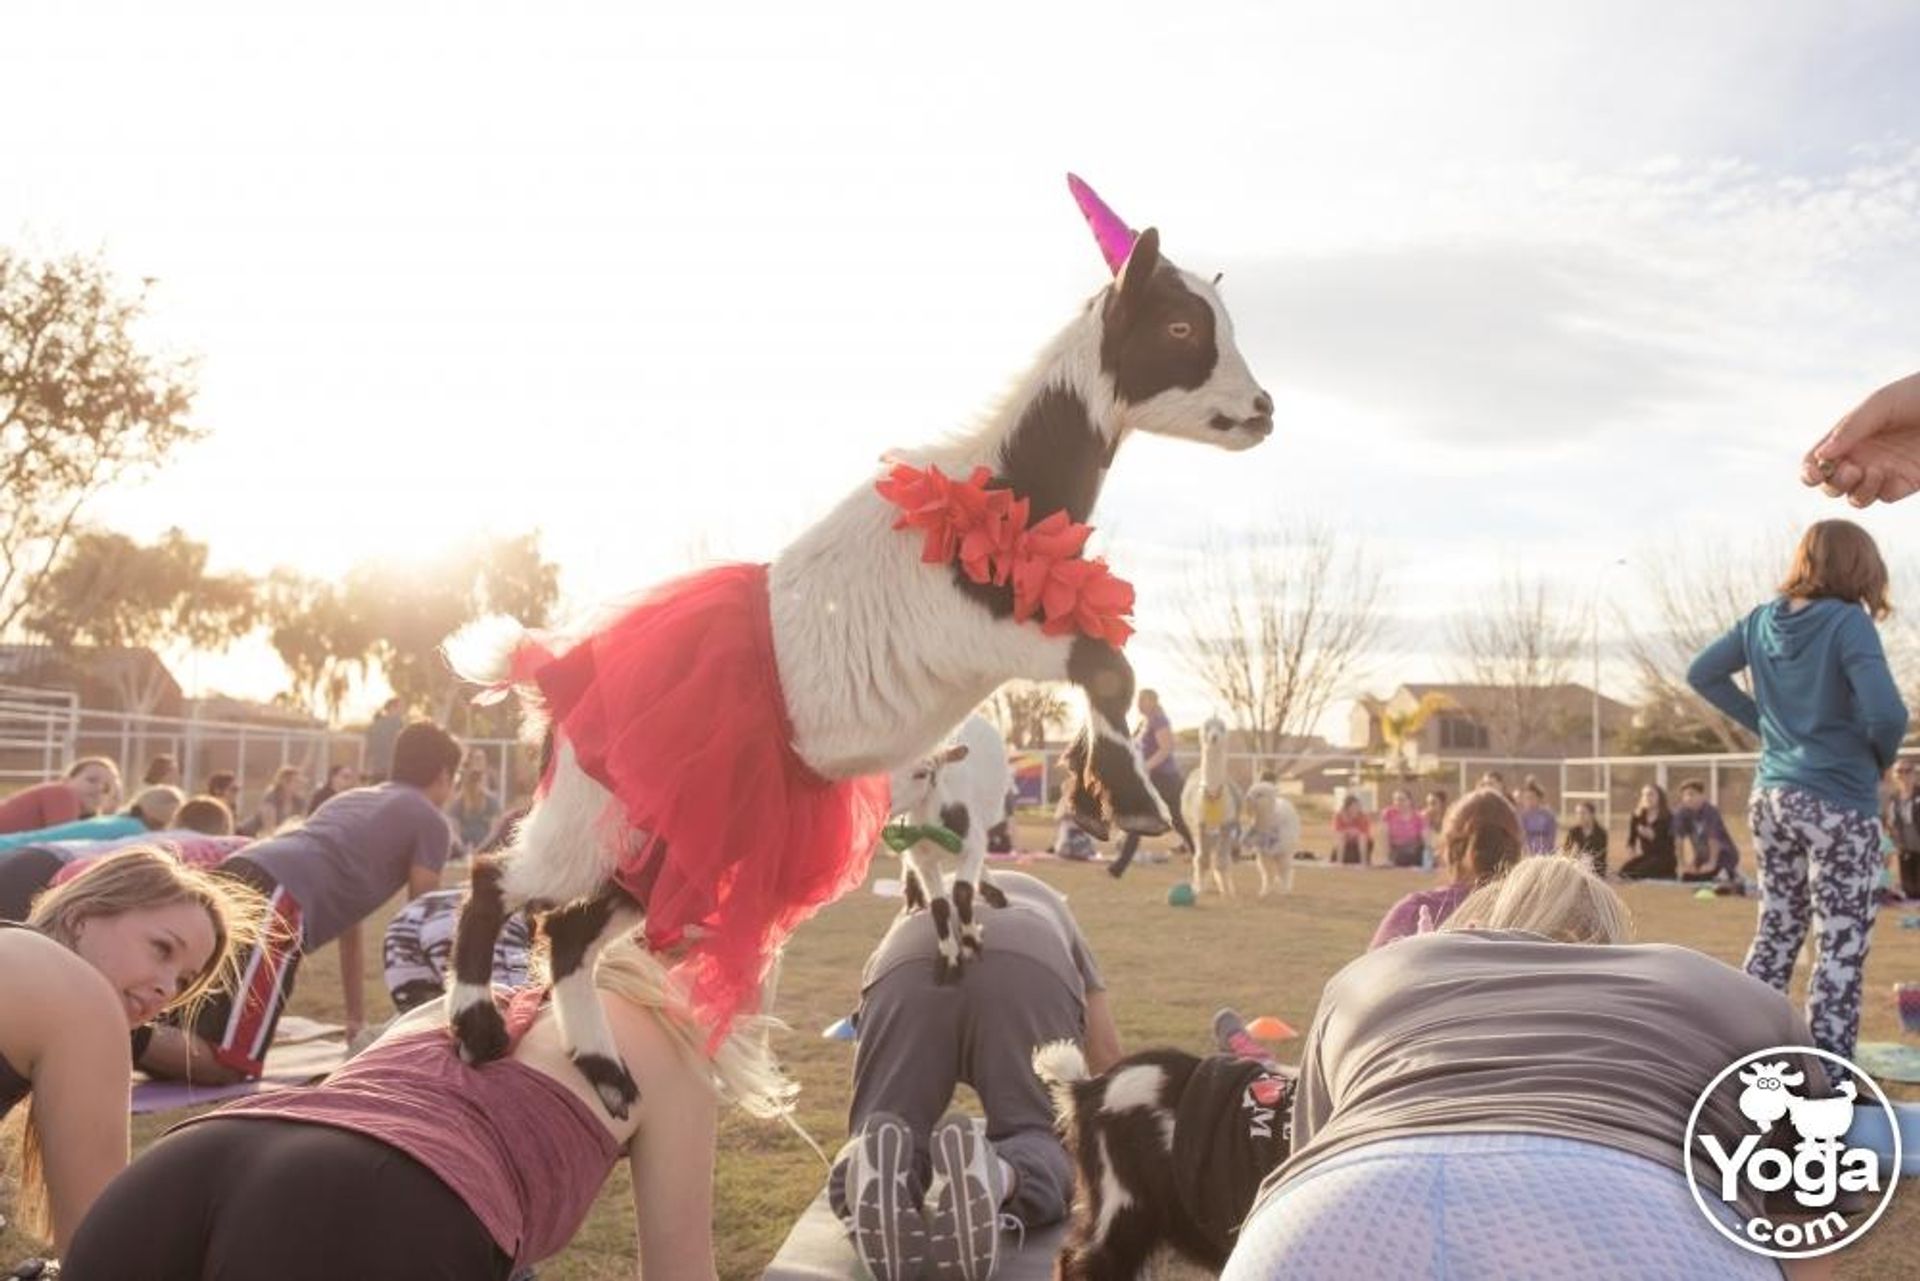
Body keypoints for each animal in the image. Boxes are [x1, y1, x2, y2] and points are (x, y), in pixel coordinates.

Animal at [883, 710, 1013, 983]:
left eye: (922, 773)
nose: (886, 805)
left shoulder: (972, 844)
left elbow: (962, 891)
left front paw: (971, 941)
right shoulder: (923, 859)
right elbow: (939, 906)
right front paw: (950, 959)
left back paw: (993, 891)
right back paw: (913, 893)